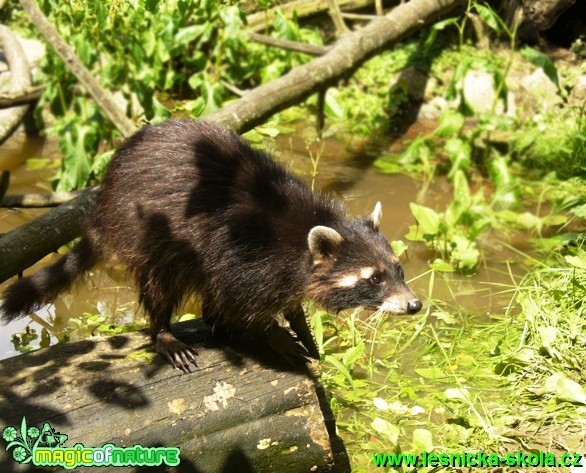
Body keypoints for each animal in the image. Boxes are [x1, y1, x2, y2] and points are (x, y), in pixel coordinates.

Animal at [0, 120, 420, 370]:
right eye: (374, 278)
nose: (415, 305)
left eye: (398, 270)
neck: (299, 235)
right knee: (161, 282)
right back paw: (164, 330)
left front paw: (302, 329)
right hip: (146, 229)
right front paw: (270, 334)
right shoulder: (246, 253)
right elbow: (241, 304)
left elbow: (288, 303)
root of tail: (103, 200)